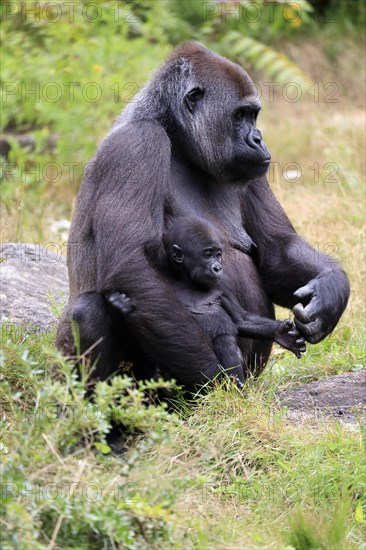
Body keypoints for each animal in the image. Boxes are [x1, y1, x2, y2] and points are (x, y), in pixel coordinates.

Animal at [106, 216, 306, 388]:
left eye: (218, 254)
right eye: (207, 254)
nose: (218, 267)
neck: (188, 281)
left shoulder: (222, 290)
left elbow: (241, 319)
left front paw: (281, 333)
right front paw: (119, 306)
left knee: (226, 342)